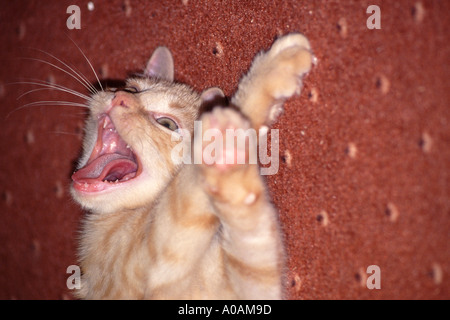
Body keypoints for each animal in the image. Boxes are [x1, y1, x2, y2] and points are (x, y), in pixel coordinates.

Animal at [71, 33, 312, 298]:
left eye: (167, 124)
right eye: (132, 89)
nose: (120, 98)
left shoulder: (254, 286)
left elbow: (253, 237)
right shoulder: (160, 247)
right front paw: (272, 72)